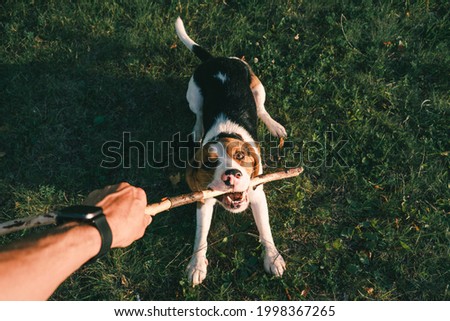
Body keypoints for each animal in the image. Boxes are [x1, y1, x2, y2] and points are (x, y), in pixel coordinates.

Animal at [174, 16, 286, 284]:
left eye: (240, 156)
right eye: (210, 162)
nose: (231, 175)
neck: (226, 133)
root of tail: (217, 59)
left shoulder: (257, 193)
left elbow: (265, 230)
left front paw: (273, 258)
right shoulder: (203, 200)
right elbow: (200, 236)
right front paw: (196, 265)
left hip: (258, 86)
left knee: (262, 108)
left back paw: (274, 125)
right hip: (193, 94)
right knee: (199, 113)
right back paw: (197, 129)